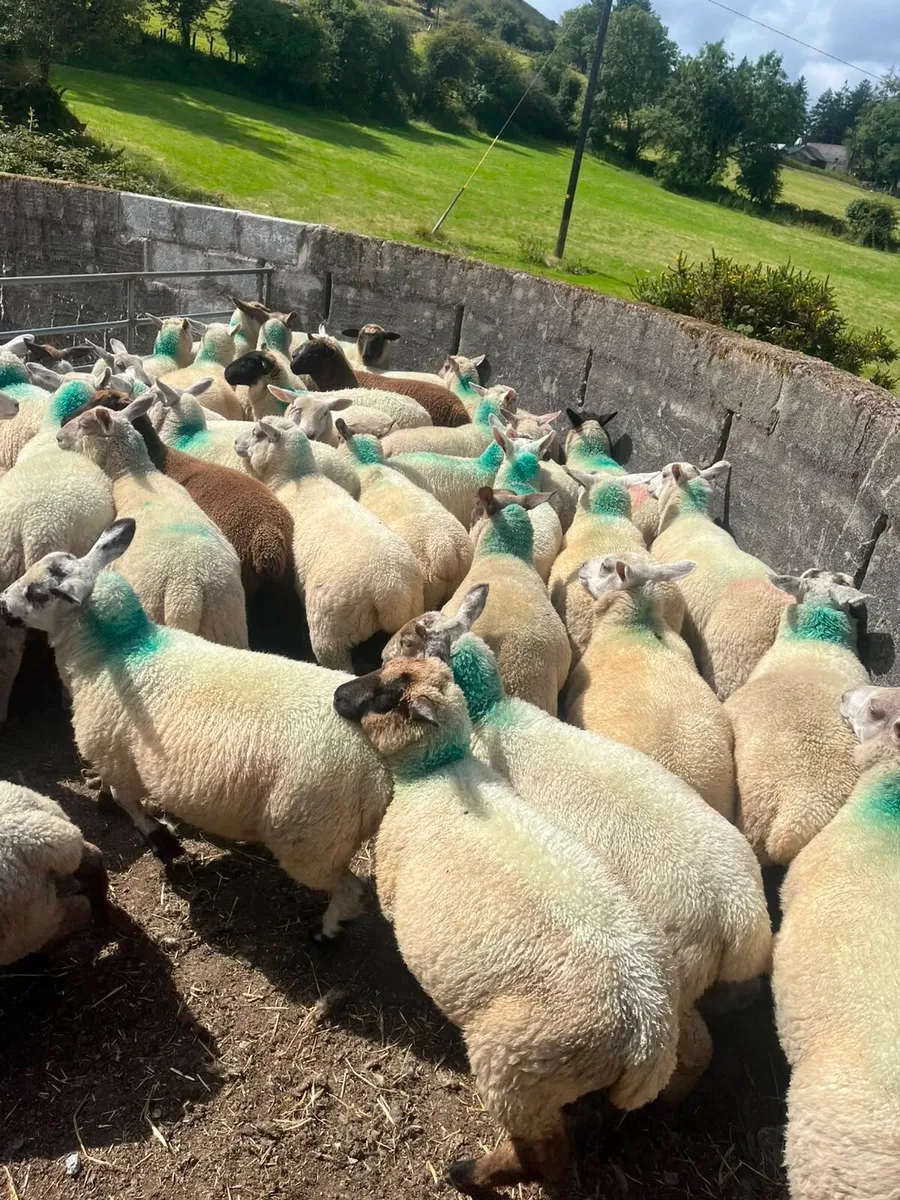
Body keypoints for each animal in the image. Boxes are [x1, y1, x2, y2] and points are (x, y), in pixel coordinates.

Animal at [0, 522, 393, 941]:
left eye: (38, 592)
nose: (3, 602)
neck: (118, 650)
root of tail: (377, 766)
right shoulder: (115, 755)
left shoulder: (117, 756)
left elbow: (129, 802)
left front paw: (163, 842)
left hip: (310, 837)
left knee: (351, 890)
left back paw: (327, 930)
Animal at [58, 397, 248, 648]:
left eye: (84, 425)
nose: (58, 437)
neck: (133, 473)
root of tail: (189, 593)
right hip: (227, 626)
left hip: (152, 603)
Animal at [332, 655, 680, 1192]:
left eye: (385, 696)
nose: (337, 695)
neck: (436, 772)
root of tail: (650, 1035)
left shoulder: (389, 881)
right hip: (569, 1079)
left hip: (519, 1069)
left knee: (550, 1153)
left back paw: (472, 1172)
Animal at [383, 596, 771, 1102]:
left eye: (410, 641)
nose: (381, 656)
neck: (492, 714)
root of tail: (742, 912)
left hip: (679, 974)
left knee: (693, 1044)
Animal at [725, 569, 871, 865]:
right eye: (814, 573)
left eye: (841, 580)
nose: (848, 575)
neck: (815, 639)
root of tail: (797, 808)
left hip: (754, 813)